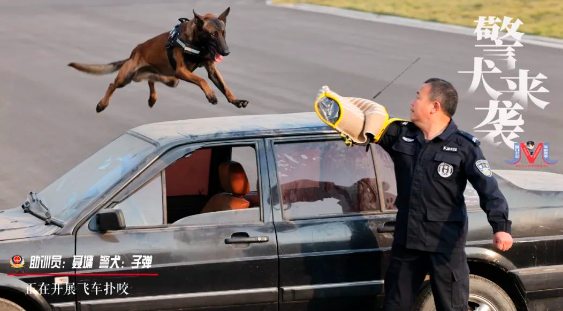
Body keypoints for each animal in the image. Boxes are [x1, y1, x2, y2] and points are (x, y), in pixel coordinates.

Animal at [69, 7, 249, 113]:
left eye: (224, 33)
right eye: (213, 34)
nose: (226, 52)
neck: (196, 43)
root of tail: (133, 53)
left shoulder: (210, 70)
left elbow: (225, 87)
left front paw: (235, 100)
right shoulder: (181, 71)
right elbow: (202, 80)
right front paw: (210, 94)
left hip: (170, 79)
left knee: (151, 79)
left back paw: (152, 97)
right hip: (127, 77)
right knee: (112, 85)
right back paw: (102, 104)